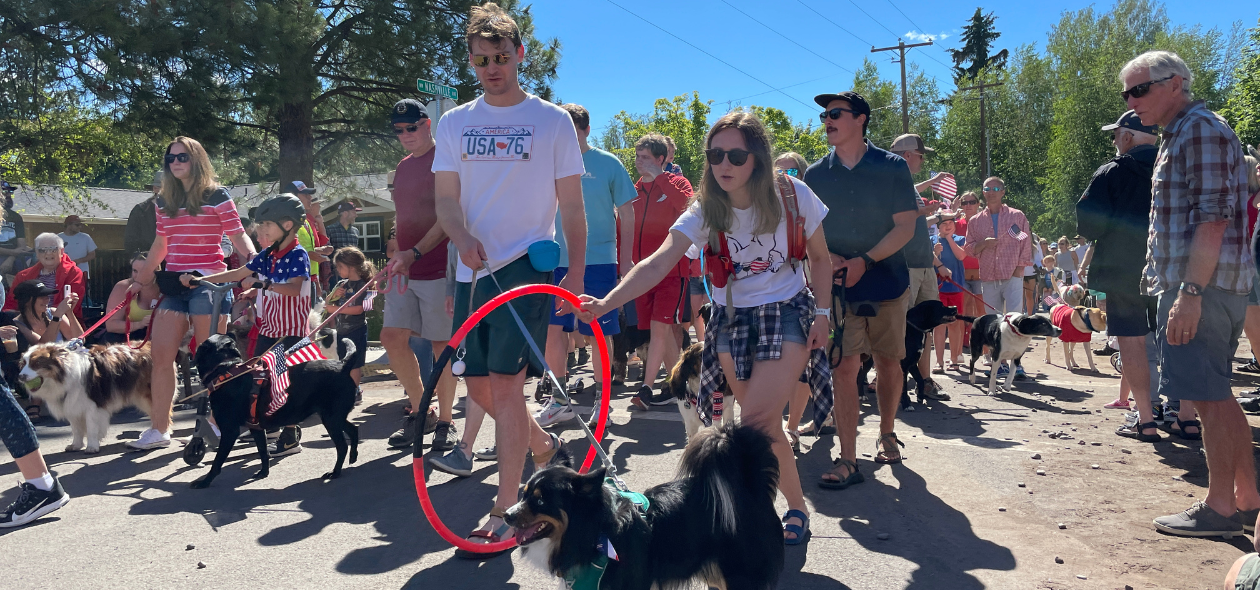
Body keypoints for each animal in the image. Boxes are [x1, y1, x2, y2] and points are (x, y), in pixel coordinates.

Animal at [18, 340, 170, 451]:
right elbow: (76, 429)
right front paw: (76, 445)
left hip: (147, 395)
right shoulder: (72, 405)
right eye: (24, 363)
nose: (20, 376)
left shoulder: (92, 406)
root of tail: (149, 344)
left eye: (37, 363)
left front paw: (92, 446)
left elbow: (91, 428)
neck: (64, 374)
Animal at [504, 423, 781, 590]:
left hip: (741, 574)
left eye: (541, 500)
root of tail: (749, 486)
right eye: (524, 494)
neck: (597, 531)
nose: (507, 515)